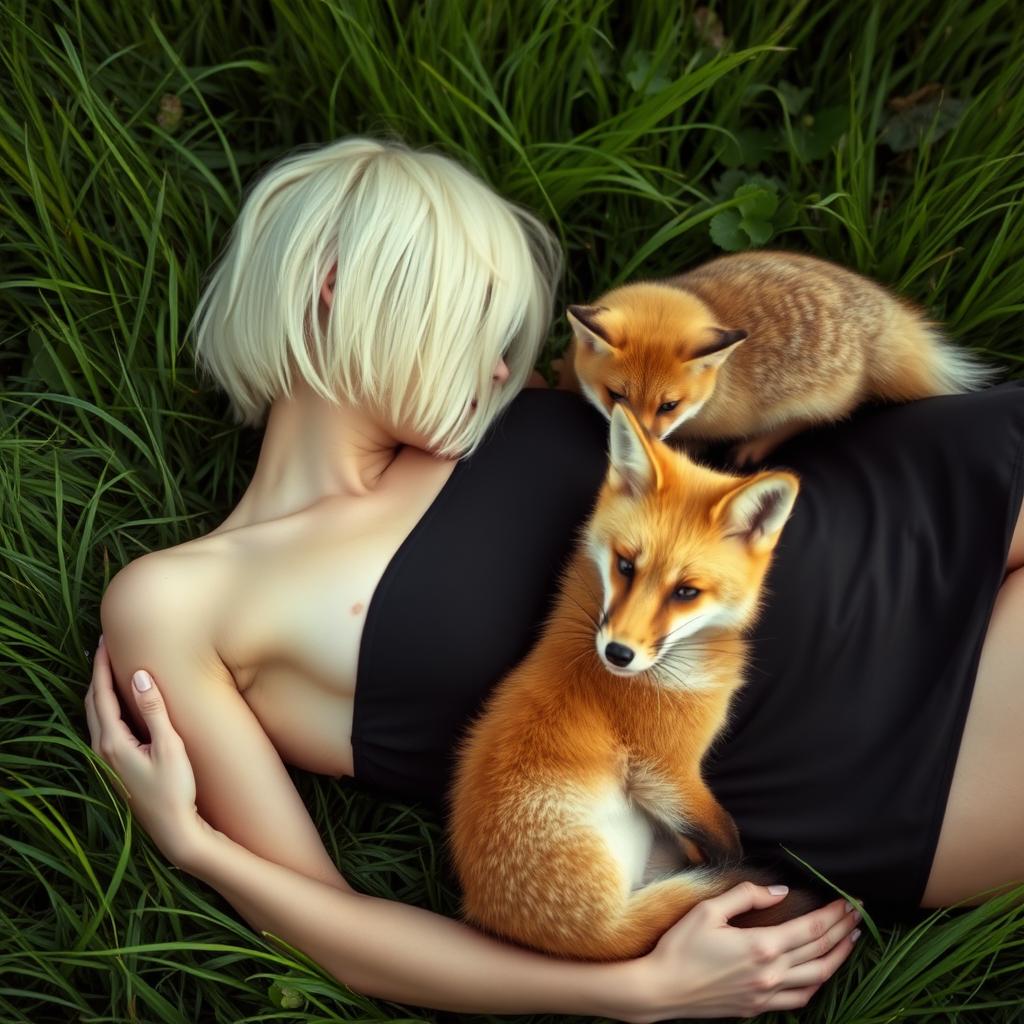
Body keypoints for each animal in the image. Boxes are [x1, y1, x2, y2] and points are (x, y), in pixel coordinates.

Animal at [452, 405, 811, 958]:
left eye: (686, 591)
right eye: (626, 565)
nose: (617, 653)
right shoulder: (665, 771)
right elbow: (727, 839)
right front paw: (743, 873)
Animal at [565, 250, 995, 464]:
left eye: (669, 405)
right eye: (616, 396)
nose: (641, 444)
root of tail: (875, 321)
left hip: (811, 402)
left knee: (811, 421)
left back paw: (755, 447)